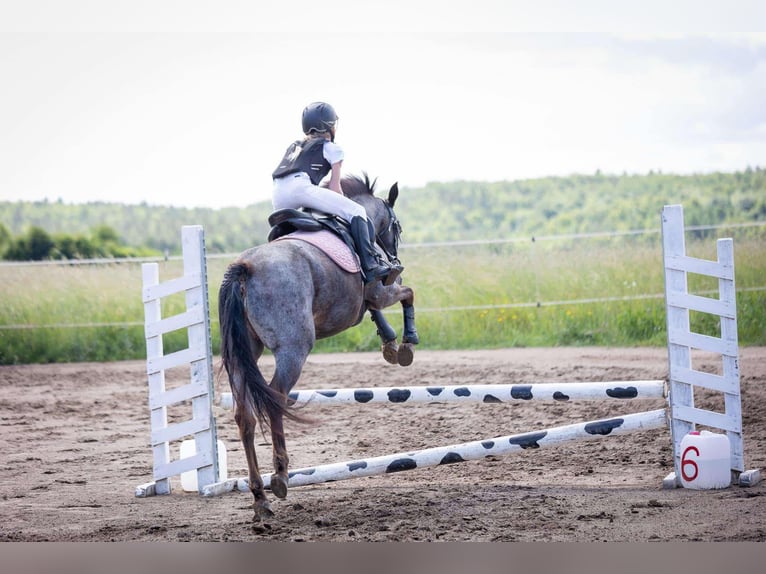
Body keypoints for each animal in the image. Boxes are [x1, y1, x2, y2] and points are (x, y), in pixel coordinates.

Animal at [219, 173, 420, 520]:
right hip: (293, 349)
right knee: (276, 399)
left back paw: (260, 498)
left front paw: (391, 343)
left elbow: (375, 310)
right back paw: (280, 476)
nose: (393, 260)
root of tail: (245, 268)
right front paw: (407, 343)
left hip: (244, 354)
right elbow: (407, 293)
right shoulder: (382, 289)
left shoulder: (366, 297)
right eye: (397, 227)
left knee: (245, 414)